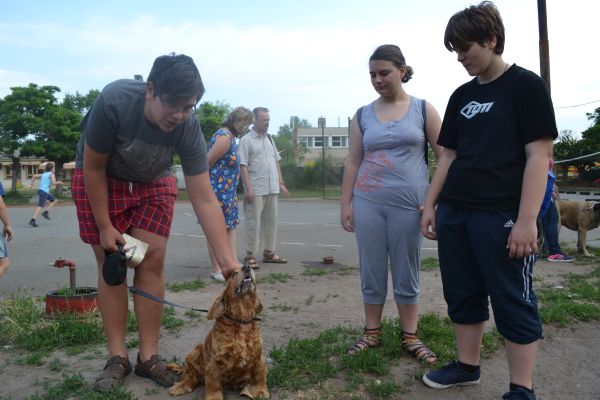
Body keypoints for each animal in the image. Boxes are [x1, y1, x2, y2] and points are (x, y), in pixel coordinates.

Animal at [168, 264, 269, 400]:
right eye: (233, 274)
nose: (247, 266)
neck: (241, 321)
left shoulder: (258, 355)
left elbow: (259, 374)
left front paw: (260, 391)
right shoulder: (215, 361)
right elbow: (213, 382)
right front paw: (214, 397)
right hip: (196, 350)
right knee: (191, 376)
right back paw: (181, 386)